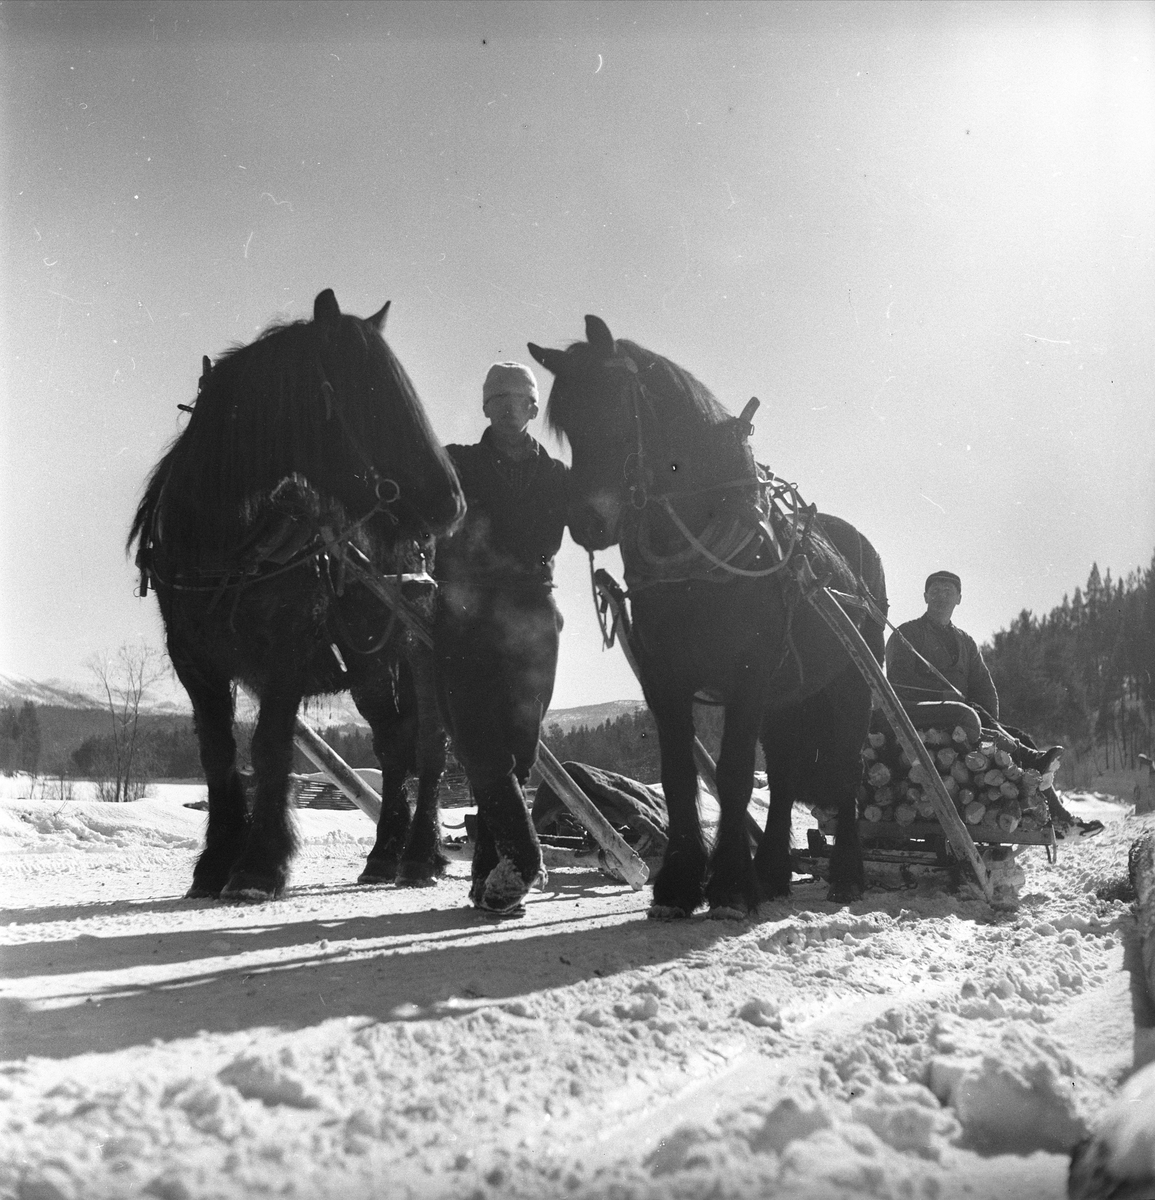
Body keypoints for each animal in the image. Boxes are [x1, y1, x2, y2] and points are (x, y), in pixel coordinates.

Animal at [130, 288, 463, 902]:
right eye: (371, 393)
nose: (450, 502)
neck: (226, 546)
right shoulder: (193, 658)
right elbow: (217, 754)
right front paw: (215, 863)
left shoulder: (285, 650)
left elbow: (269, 747)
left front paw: (260, 865)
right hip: (371, 665)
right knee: (394, 743)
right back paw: (385, 853)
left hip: (421, 650)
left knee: (430, 743)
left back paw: (420, 855)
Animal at [525, 314, 888, 912]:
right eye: (568, 423)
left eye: (617, 403)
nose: (588, 521)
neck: (699, 563)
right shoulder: (662, 677)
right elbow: (678, 777)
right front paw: (680, 880)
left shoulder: (749, 674)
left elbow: (736, 774)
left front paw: (730, 885)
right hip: (788, 694)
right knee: (785, 771)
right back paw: (774, 872)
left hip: (851, 683)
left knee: (846, 766)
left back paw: (848, 874)